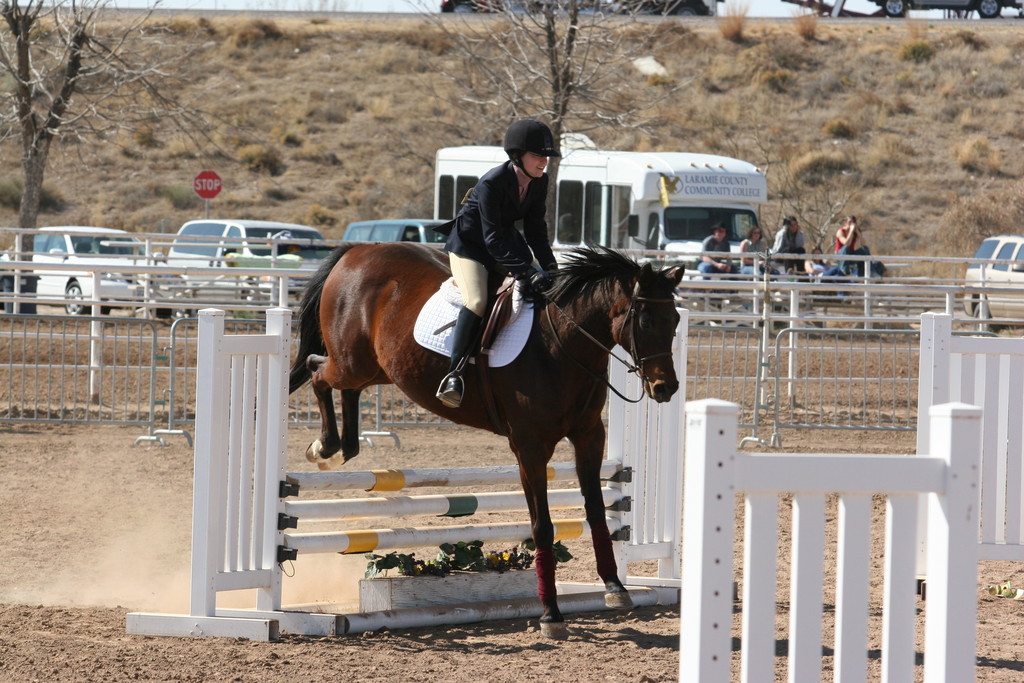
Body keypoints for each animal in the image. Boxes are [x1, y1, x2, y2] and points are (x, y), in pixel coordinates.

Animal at [288, 242, 684, 638]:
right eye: (646, 321)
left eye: (676, 321)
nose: (665, 388)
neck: (562, 345)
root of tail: (357, 250)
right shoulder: (529, 445)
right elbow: (542, 525)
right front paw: (550, 613)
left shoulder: (589, 436)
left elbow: (598, 511)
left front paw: (615, 587)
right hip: (351, 361)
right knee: (317, 371)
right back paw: (325, 447)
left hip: (376, 368)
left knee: (346, 387)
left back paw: (344, 448)